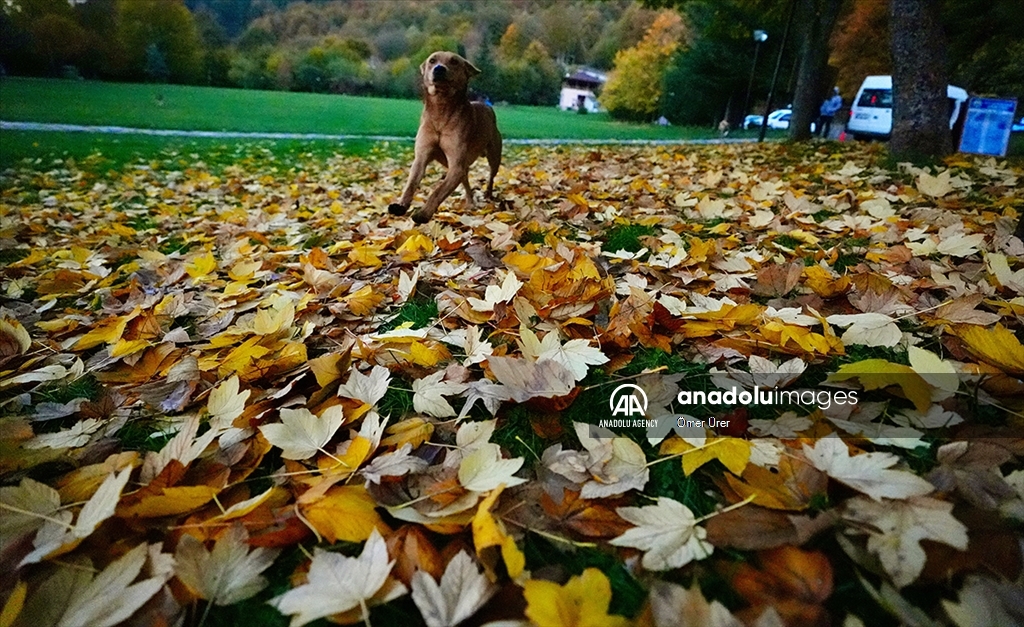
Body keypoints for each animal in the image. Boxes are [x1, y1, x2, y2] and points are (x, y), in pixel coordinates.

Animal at [385, 51, 501, 223]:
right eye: (432, 60)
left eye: (454, 62)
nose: (439, 69)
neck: (441, 110)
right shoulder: (422, 157)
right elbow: (411, 184)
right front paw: (401, 206)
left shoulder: (456, 165)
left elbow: (438, 192)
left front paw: (424, 213)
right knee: (466, 184)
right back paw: (470, 203)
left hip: (493, 155)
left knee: (491, 175)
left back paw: (488, 193)